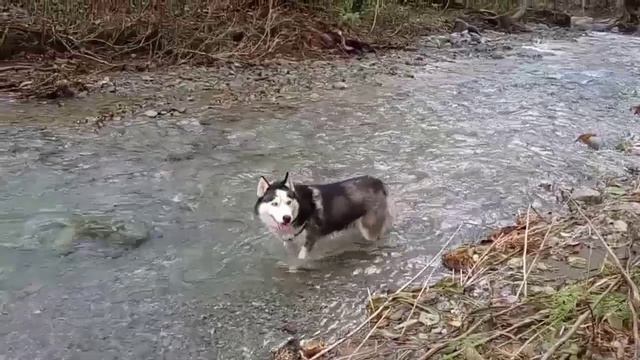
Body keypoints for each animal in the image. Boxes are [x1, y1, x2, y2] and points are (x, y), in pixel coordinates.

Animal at [254, 172, 392, 262]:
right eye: (275, 204)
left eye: (289, 202)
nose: (286, 218)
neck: (300, 211)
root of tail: (377, 182)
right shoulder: (289, 242)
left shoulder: (310, 238)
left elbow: (301, 257)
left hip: (369, 229)